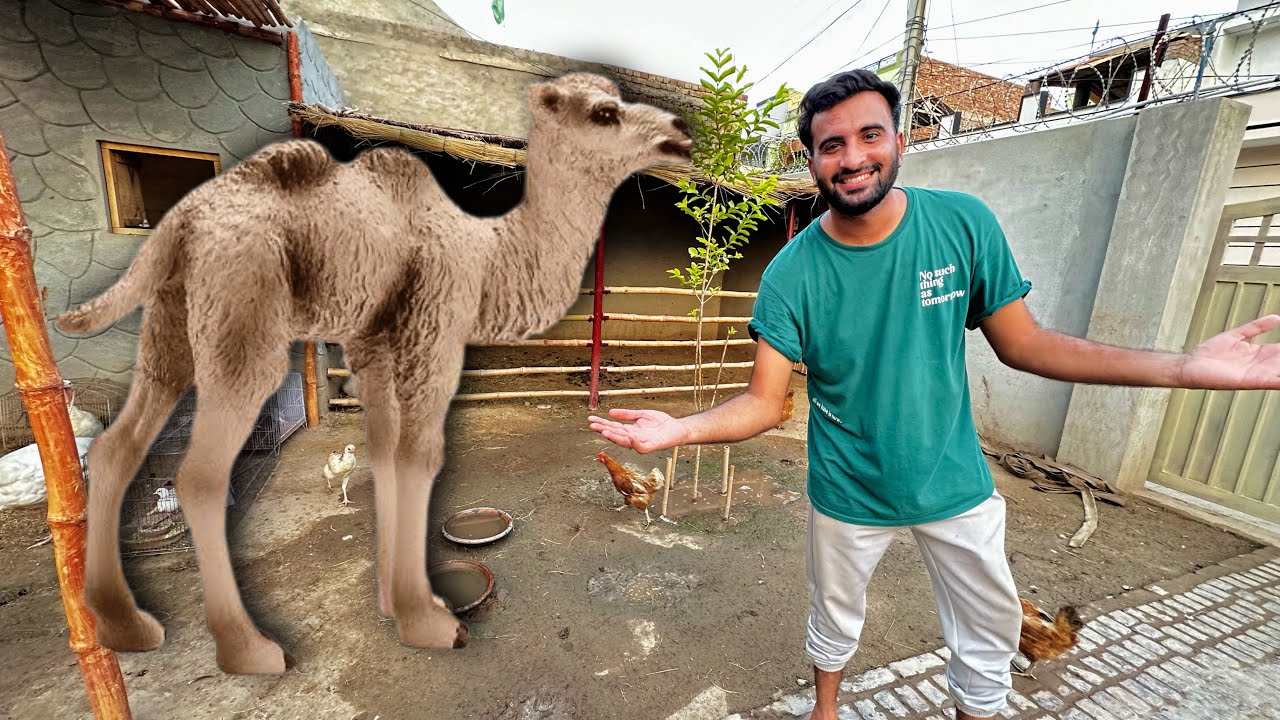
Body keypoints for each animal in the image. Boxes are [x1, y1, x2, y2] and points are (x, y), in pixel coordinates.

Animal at [55, 72, 692, 674]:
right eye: (605, 112)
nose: (680, 135)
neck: (486, 256)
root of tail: (179, 222)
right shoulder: (433, 339)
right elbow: (421, 458)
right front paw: (428, 620)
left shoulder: (374, 349)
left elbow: (385, 455)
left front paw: (396, 603)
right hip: (244, 314)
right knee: (201, 474)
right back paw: (250, 648)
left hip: (170, 324)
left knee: (117, 446)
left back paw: (126, 625)